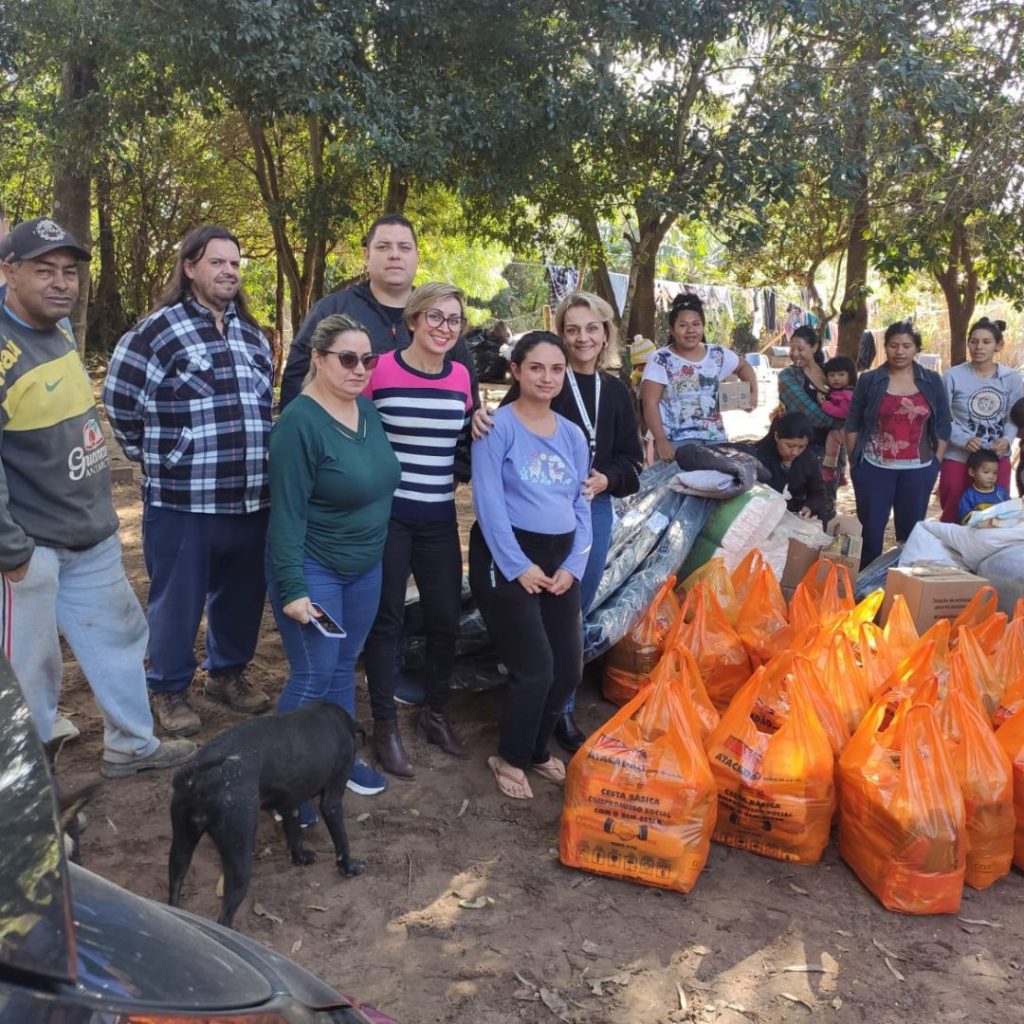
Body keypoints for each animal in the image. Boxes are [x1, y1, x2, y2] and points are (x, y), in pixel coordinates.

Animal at [173, 704, 368, 929]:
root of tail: (199, 774)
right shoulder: (332, 801)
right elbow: (342, 842)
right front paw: (349, 867)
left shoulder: (290, 803)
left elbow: (294, 834)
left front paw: (300, 858)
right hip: (239, 858)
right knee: (224, 917)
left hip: (181, 849)